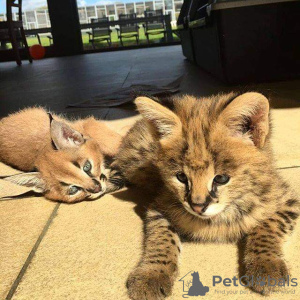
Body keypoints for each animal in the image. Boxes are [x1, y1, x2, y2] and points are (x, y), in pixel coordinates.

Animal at [110, 93, 300, 298]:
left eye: (221, 178)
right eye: (181, 177)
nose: (197, 206)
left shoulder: (288, 199)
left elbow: (267, 226)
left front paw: (266, 265)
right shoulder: (160, 205)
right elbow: (162, 238)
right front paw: (151, 274)